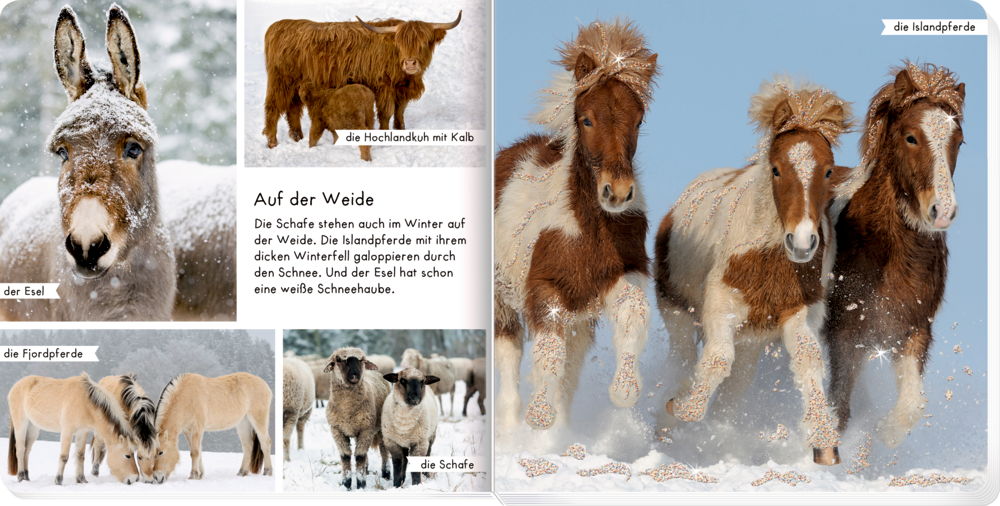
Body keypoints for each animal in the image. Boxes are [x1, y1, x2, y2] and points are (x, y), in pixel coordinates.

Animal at [324, 347, 391, 490]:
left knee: (383, 451)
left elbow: (360, 456)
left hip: (381, 428)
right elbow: (345, 456)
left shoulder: (366, 429)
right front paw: (346, 483)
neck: (347, 408)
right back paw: (367, 469)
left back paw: (386, 473)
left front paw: (361, 484)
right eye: (338, 360)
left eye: (362, 360)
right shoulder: (337, 430)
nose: (354, 375)